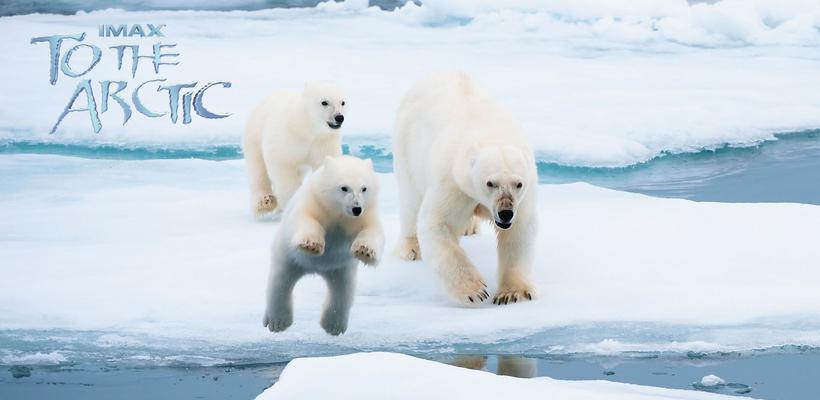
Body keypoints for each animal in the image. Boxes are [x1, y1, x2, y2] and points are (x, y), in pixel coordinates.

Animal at [243, 81, 346, 216]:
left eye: (343, 102)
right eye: (324, 102)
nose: (339, 117)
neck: (306, 127)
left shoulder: (323, 141)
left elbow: (325, 164)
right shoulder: (286, 137)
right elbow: (283, 165)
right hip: (254, 136)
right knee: (258, 170)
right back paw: (265, 201)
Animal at [262, 155, 384, 336]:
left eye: (364, 188)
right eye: (344, 187)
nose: (356, 208)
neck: (337, 212)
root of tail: (316, 269)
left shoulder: (365, 214)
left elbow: (373, 231)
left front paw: (364, 251)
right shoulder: (315, 202)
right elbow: (304, 218)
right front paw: (311, 244)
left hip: (339, 269)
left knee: (343, 291)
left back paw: (334, 325)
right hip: (288, 258)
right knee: (280, 283)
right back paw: (278, 322)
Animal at [390, 70, 540, 304]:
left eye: (518, 184)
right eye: (490, 183)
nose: (505, 213)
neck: (492, 134)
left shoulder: (525, 193)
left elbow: (519, 230)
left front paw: (513, 293)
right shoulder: (453, 181)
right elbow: (439, 222)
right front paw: (475, 290)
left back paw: (470, 227)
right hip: (406, 146)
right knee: (411, 200)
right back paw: (411, 248)